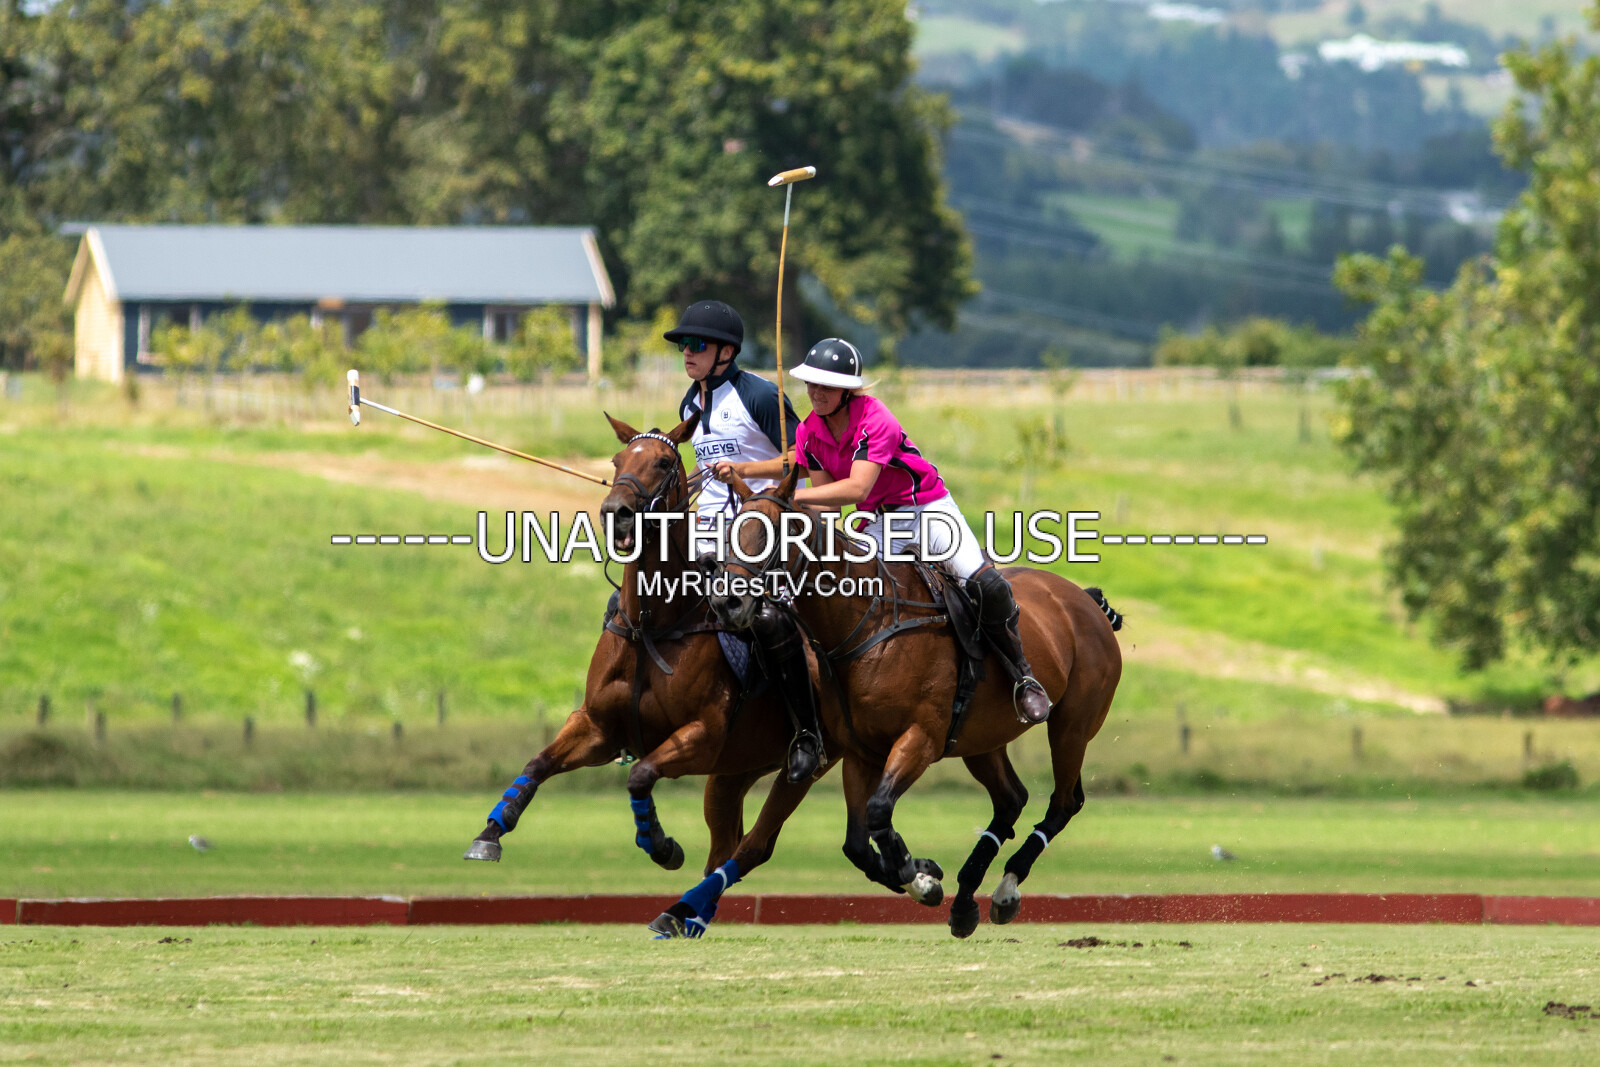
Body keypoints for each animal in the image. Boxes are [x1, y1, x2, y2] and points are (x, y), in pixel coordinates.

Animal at [462, 413, 832, 936]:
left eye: (661, 461)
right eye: (617, 459)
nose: (615, 512)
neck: (652, 623)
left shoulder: (704, 735)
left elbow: (639, 775)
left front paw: (660, 844)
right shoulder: (598, 726)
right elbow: (538, 763)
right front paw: (491, 831)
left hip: (806, 760)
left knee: (755, 842)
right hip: (735, 769)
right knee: (726, 841)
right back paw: (688, 914)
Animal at [703, 463, 1123, 936]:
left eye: (776, 531)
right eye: (728, 532)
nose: (726, 602)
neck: (865, 624)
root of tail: (1083, 599)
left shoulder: (919, 738)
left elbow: (878, 811)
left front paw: (919, 878)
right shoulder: (862, 751)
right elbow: (858, 841)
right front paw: (922, 874)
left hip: (1072, 726)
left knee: (1064, 801)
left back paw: (1006, 888)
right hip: (981, 738)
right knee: (1011, 798)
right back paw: (965, 900)